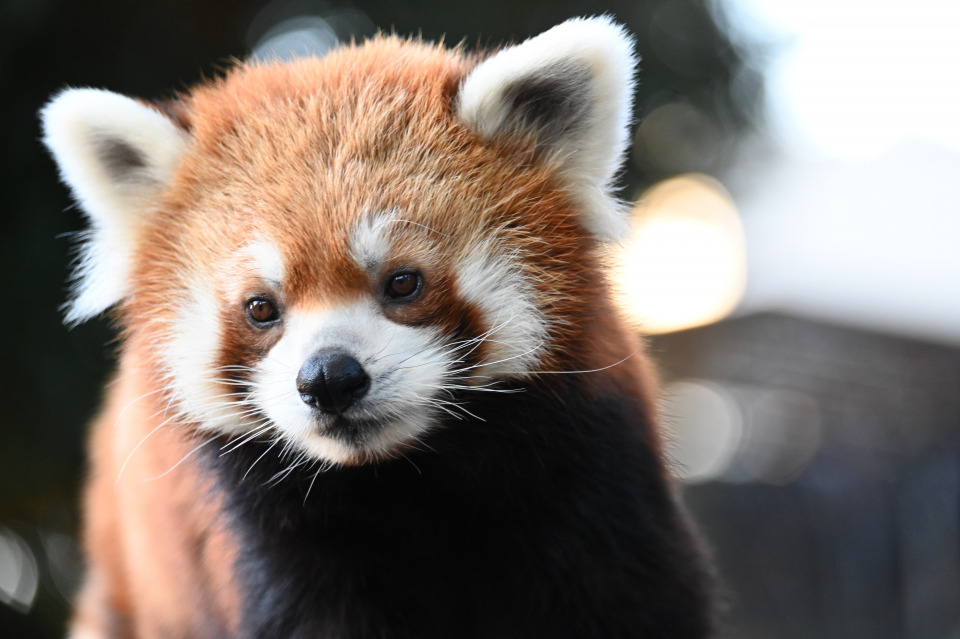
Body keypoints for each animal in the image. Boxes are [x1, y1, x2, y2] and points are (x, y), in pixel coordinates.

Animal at [43, 16, 712, 639]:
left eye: (403, 282)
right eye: (261, 308)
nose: (329, 379)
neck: (409, 481)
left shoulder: (592, 487)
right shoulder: (273, 536)